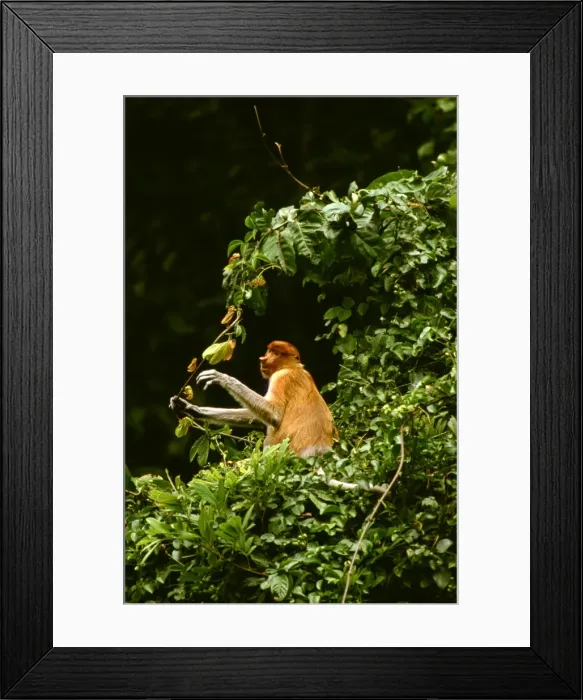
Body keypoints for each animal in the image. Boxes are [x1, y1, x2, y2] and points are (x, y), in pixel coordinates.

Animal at [170, 341, 336, 458]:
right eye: (268, 351)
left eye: (275, 353)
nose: (263, 359)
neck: (292, 368)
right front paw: (190, 408)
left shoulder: (281, 378)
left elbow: (274, 414)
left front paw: (222, 378)